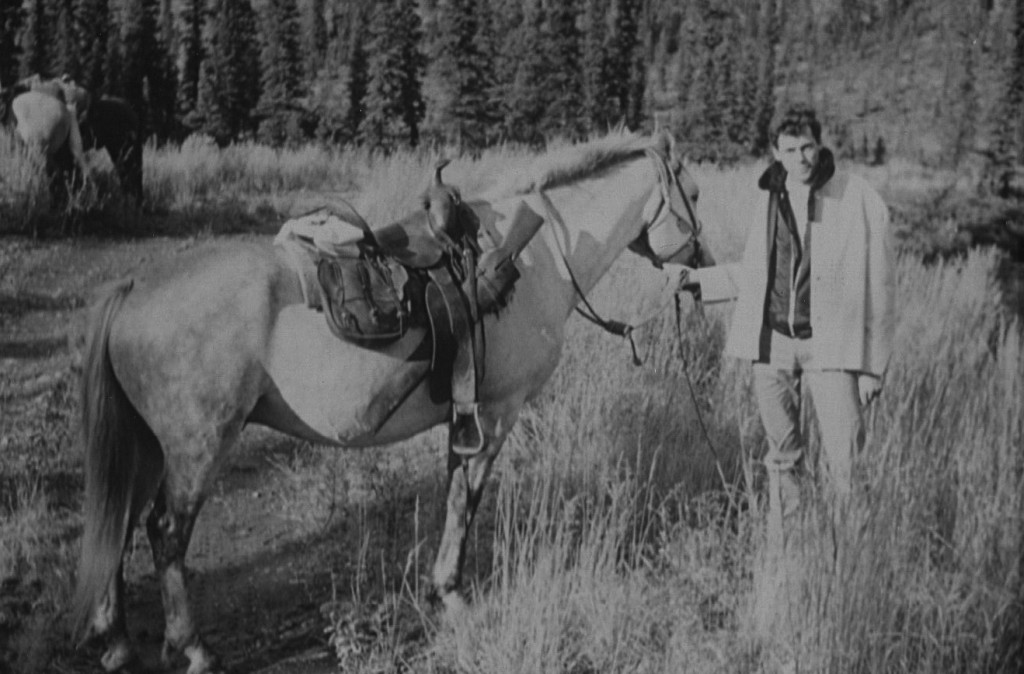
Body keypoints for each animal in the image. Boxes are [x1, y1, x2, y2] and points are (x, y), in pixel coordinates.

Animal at [72, 132, 712, 671]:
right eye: (697, 192)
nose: (704, 266)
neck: (539, 259)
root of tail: (134, 289)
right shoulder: (497, 412)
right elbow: (466, 499)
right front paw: (450, 592)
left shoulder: (466, 415)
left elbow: (454, 488)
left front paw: (441, 588)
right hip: (195, 448)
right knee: (165, 533)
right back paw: (193, 647)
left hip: (147, 447)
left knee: (120, 523)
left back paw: (115, 639)